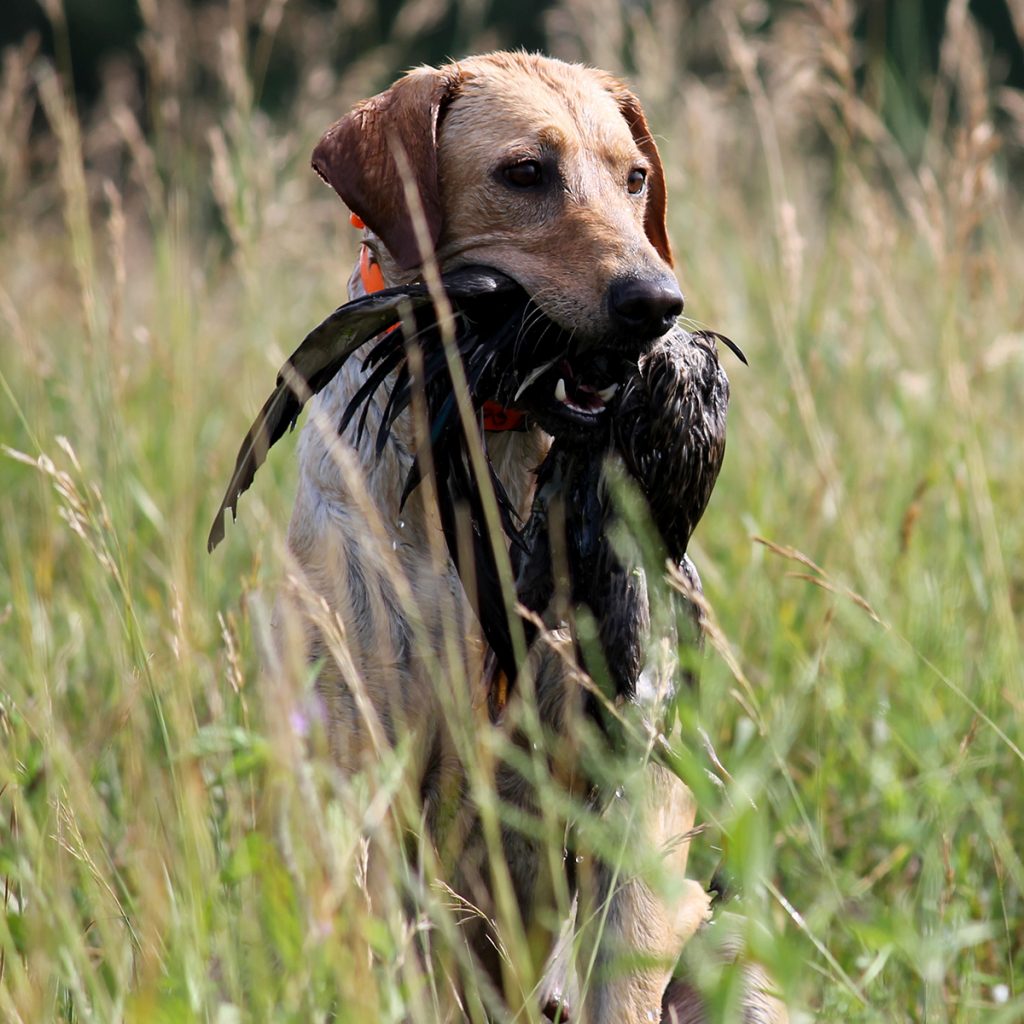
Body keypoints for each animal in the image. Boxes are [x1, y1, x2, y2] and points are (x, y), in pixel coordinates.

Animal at [264, 54, 774, 1024]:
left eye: (635, 178)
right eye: (525, 173)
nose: (658, 305)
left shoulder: (636, 780)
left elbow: (623, 962)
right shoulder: (363, 775)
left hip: (731, 948)